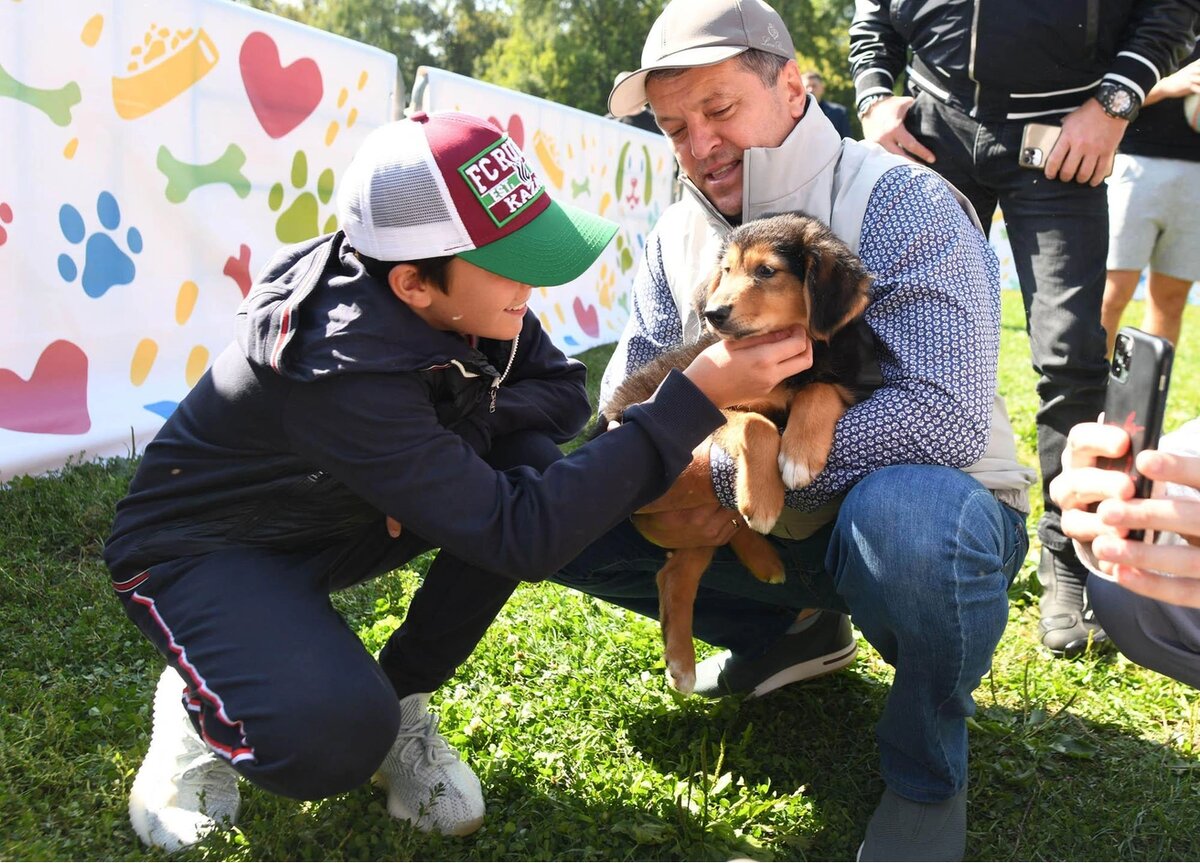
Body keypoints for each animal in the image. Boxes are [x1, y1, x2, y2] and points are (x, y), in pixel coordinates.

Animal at [597, 211, 873, 696]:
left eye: (766, 271)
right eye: (726, 271)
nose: (713, 314)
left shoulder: (845, 378)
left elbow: (817, 389)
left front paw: (799, 455)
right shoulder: (708, 403)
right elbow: (756, 424)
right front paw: (765, 498)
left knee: (677, 572)